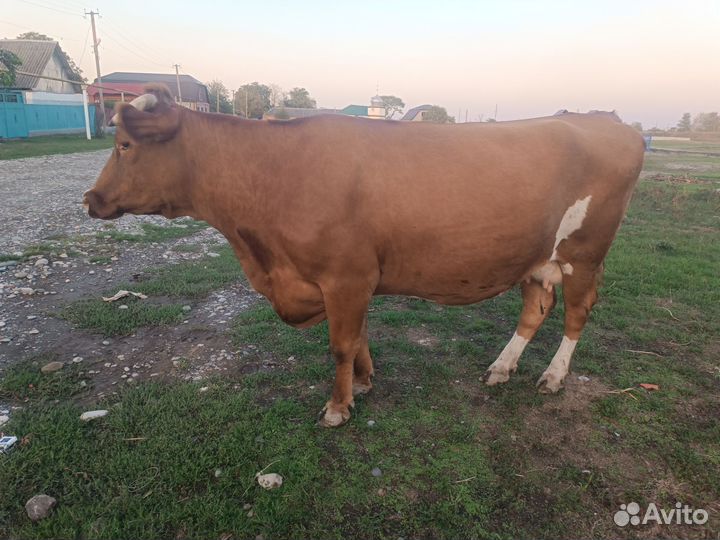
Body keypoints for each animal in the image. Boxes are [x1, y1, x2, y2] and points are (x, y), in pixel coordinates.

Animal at [84, 84, 645, 427]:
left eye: (126, 144)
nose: (90, 199)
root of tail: (611, 121)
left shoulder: (345, 276)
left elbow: (339, 345)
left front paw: (338, 406)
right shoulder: (354, 279)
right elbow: (358, 339)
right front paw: (365, 382)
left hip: (585, 253)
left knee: (577, 312)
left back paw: (553, 376)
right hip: (537, 257)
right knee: (536, 308)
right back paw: (501, 368)